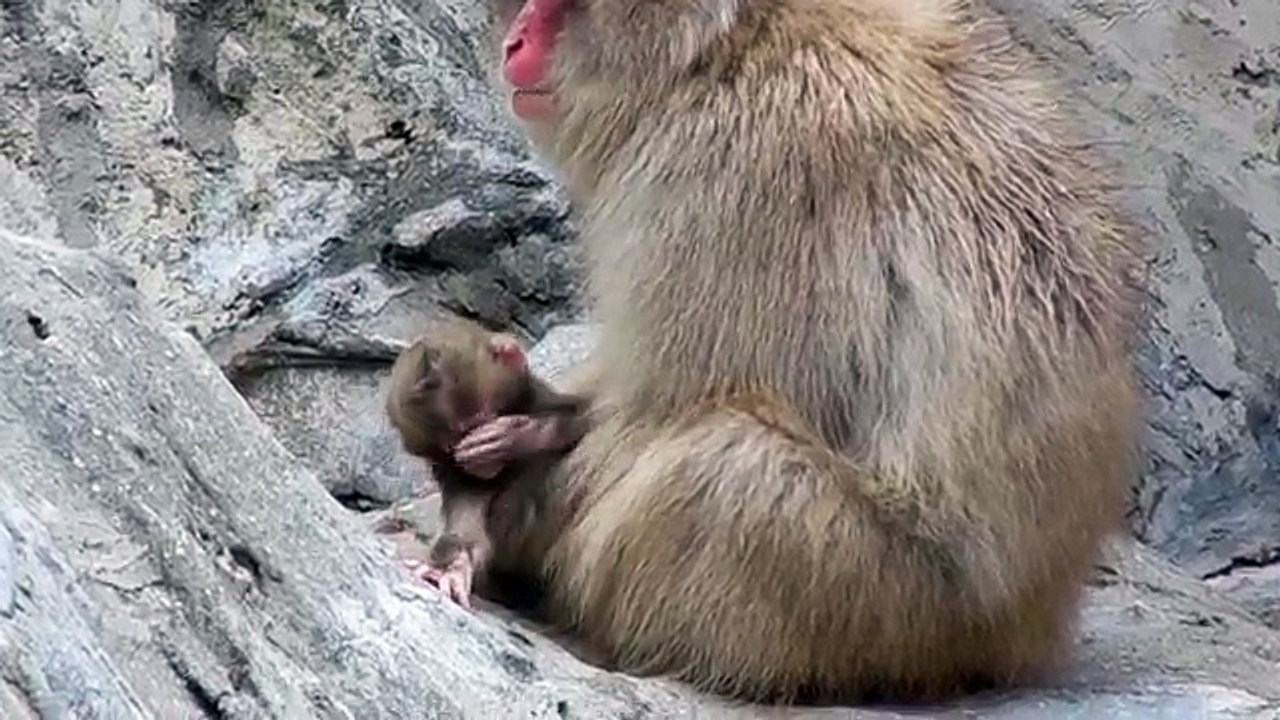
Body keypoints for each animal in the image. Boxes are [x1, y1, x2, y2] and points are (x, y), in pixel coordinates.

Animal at [385, 316, 588, 608]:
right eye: (451, 446)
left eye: (476, 426)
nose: (480, 466)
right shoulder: (456, 471)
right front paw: (452, 566)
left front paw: (515, 435)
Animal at [466, 0, 1145, 704]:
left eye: (564, 9)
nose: (515, 42)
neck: (724, 54)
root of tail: (1029, 627)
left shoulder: (728, 175)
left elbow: (661, 405)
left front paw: (505, 507)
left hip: (887, 609)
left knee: (722, 466)